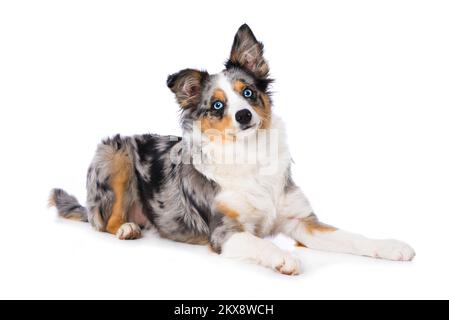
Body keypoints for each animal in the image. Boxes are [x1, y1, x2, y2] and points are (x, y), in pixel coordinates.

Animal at [48, 24, 412, 276]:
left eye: (248, 92)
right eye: (217, 105)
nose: (244, 115)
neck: (250, 155)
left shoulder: (300, 221)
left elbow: (350, 236)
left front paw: (390, 246)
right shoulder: (225, 232)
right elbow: (257, 241)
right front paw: (284, 257)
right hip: (115, 152)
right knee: (103, 221)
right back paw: (126, 227)